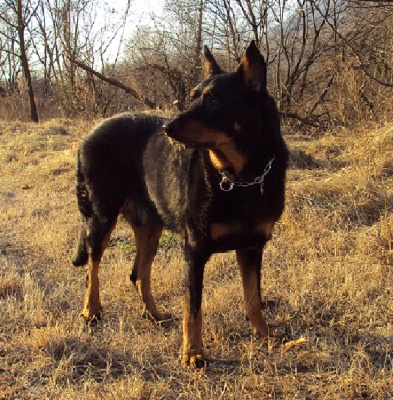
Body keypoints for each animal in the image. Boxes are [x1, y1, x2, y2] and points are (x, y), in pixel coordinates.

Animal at [72, 41, 288, 368]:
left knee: (139, 274)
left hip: (150, 227)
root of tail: (88, 135)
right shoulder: (194, 250)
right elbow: (193, 308)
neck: (241, 178)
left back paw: (154, 315)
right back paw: (91, 310)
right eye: (193, 97)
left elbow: (254, 299)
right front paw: (193, 352)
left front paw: (264, 336)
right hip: (101, 217)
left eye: (215, 101)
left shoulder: (252, 246)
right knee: (92, 268)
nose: (167, 127)